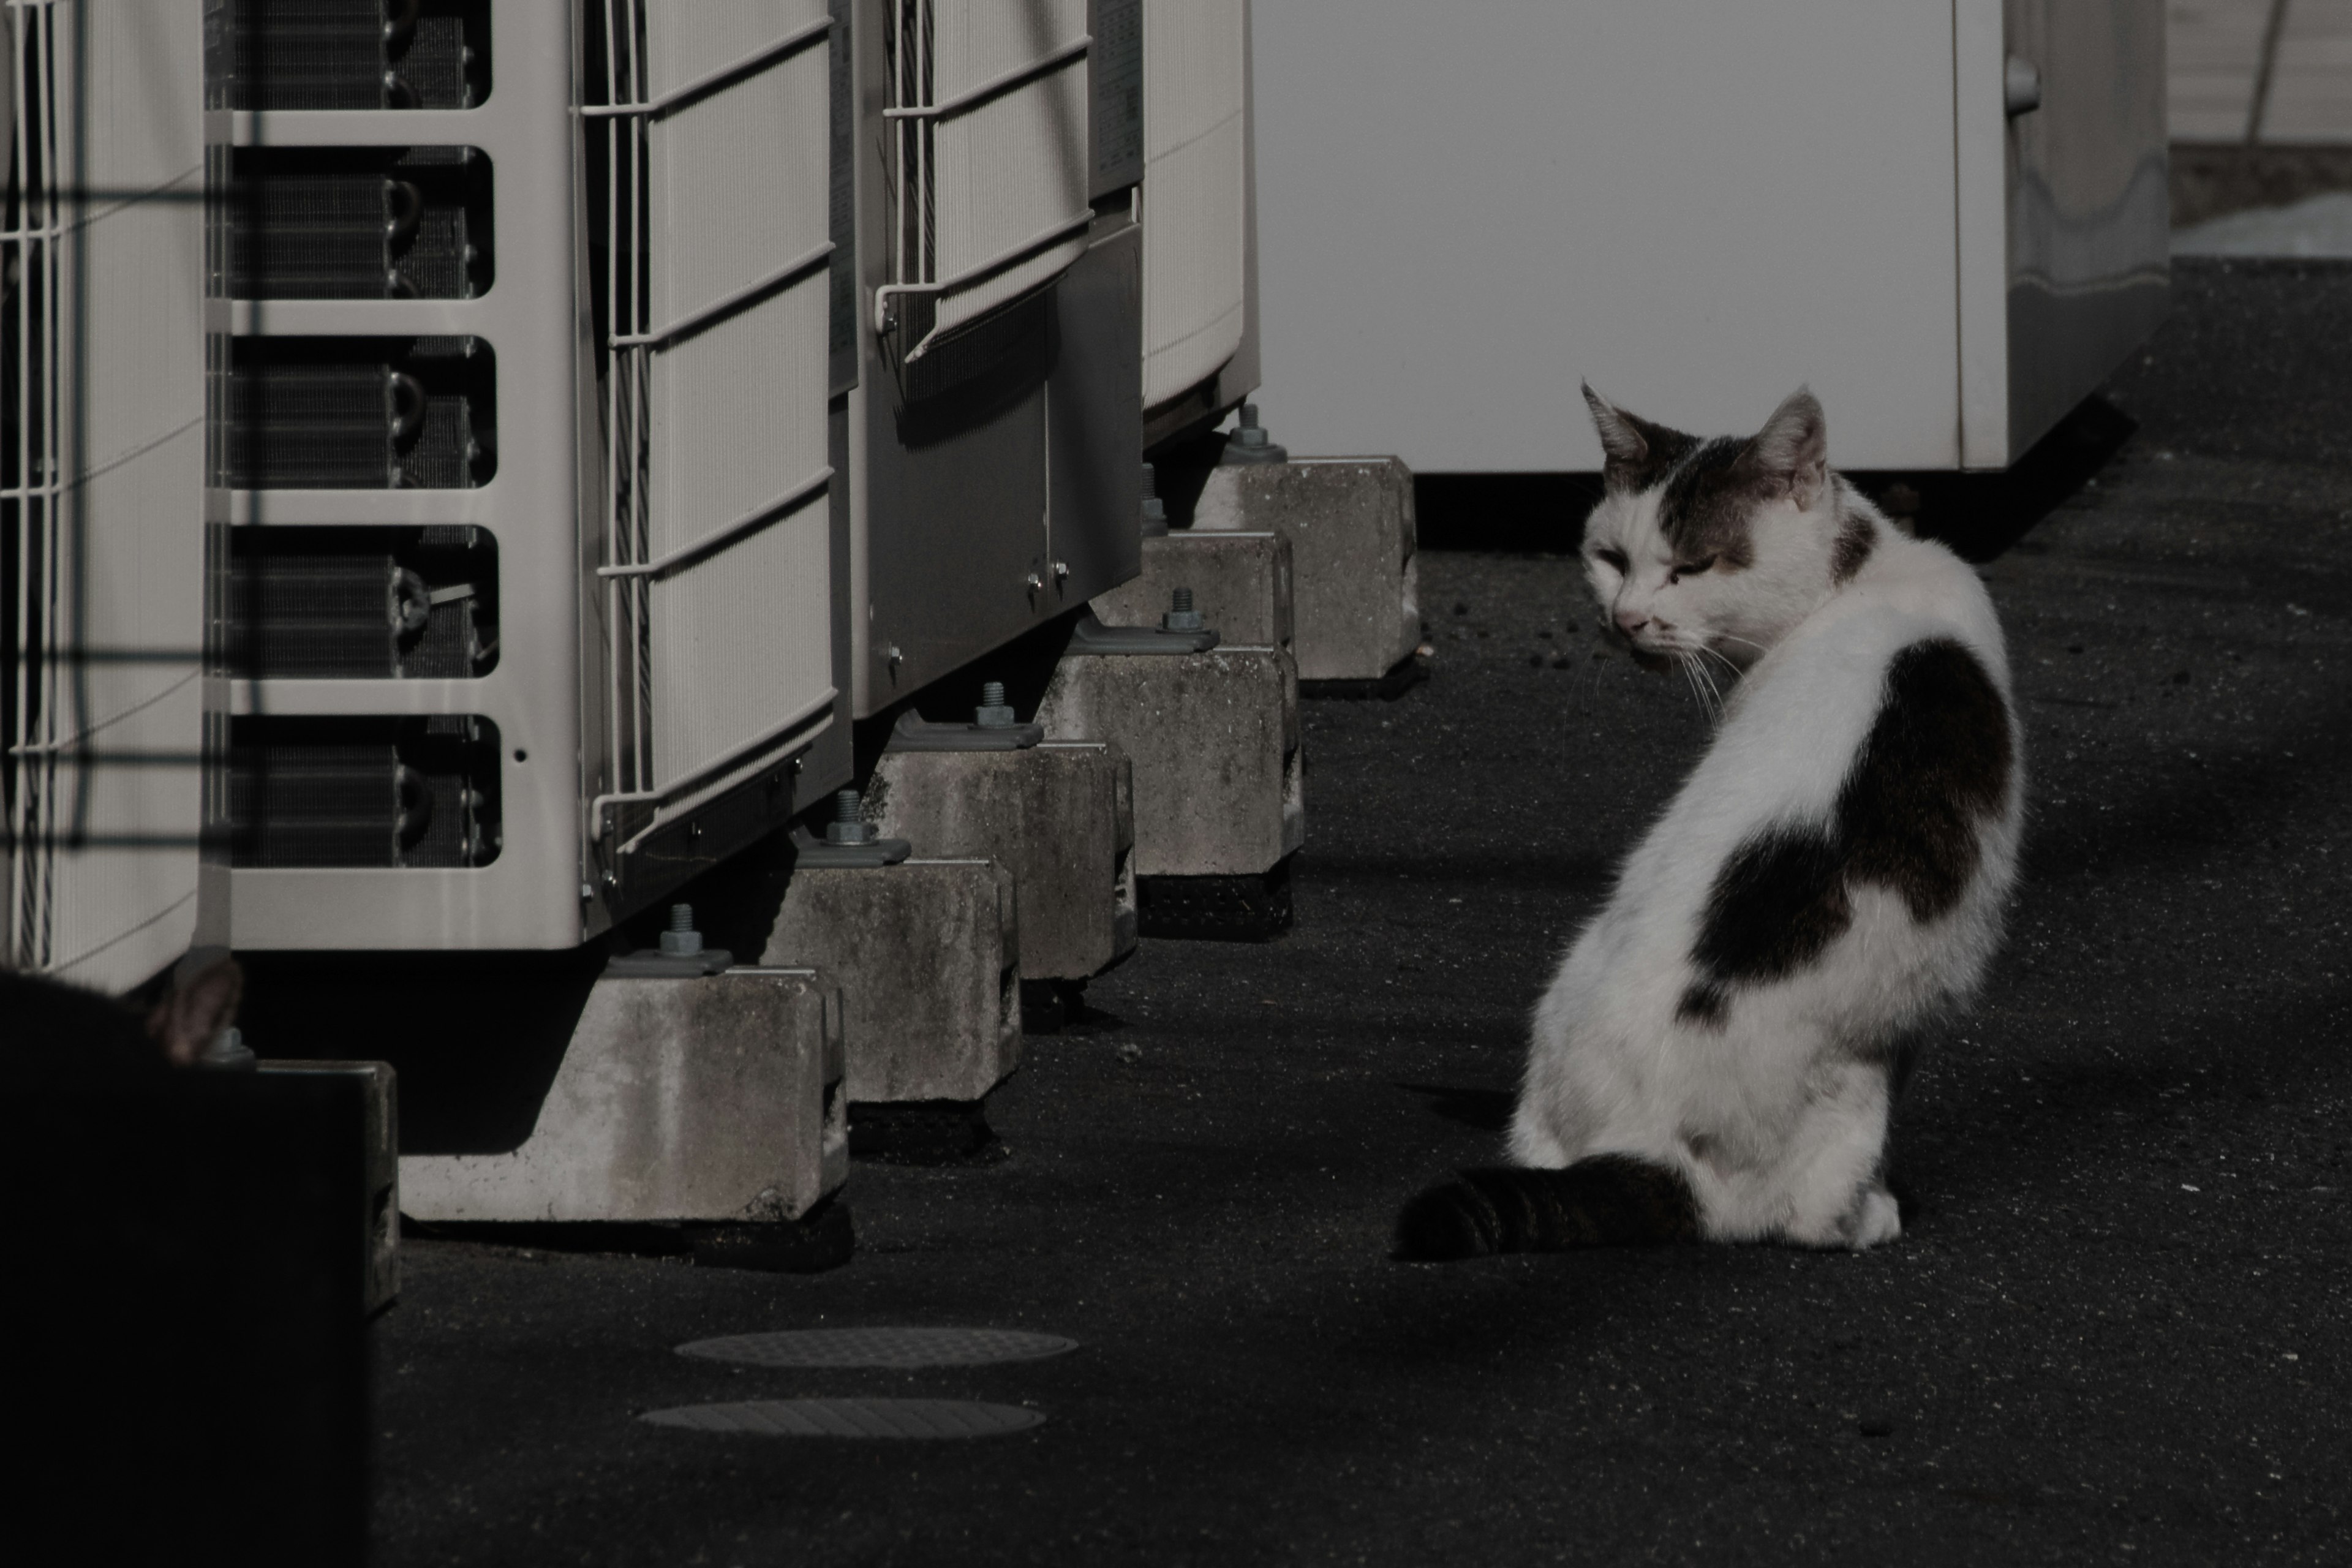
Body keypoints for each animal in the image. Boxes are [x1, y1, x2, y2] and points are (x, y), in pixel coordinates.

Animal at [1392, 390, 2022, 1260]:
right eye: (1612, 557)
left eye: (1692, 567)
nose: (1625, 618)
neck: (1857, 584)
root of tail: (1647, 1141)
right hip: (1863, 1071)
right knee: (1812, 1215)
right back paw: (1873, 1214)